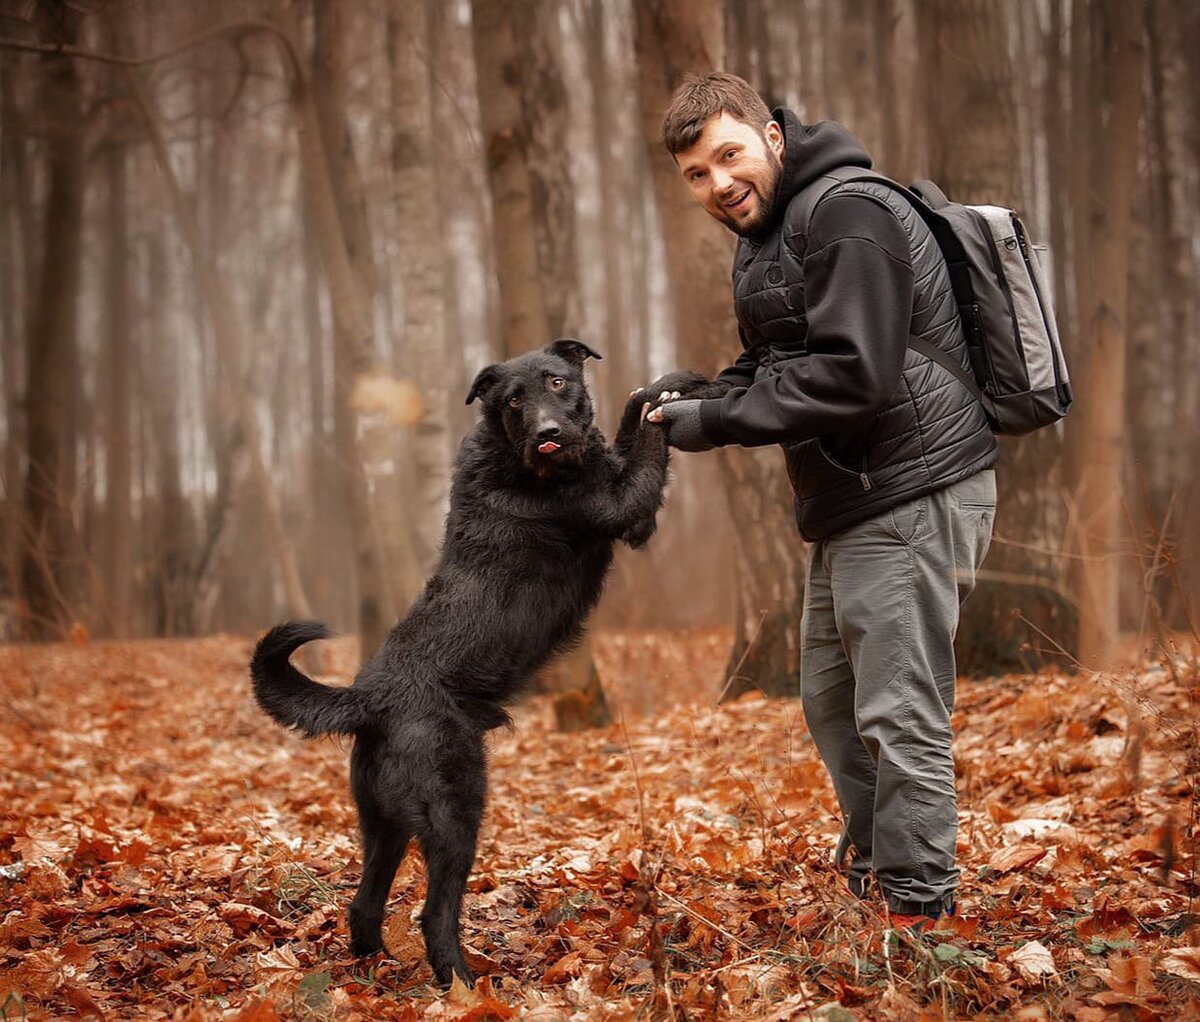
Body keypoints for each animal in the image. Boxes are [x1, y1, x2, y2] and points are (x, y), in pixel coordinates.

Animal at [248, 338, 681, 988]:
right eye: (514, 400)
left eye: (557, 381)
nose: (550, 433)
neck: (512, 457)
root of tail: (368, 698)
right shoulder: (626, 508)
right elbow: (645, 436)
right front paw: (663, 391)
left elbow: (627, 434)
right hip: (455, 814)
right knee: (434, 913)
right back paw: (462, 984)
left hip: (385, 824)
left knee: (363, 903)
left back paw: (376, 969)